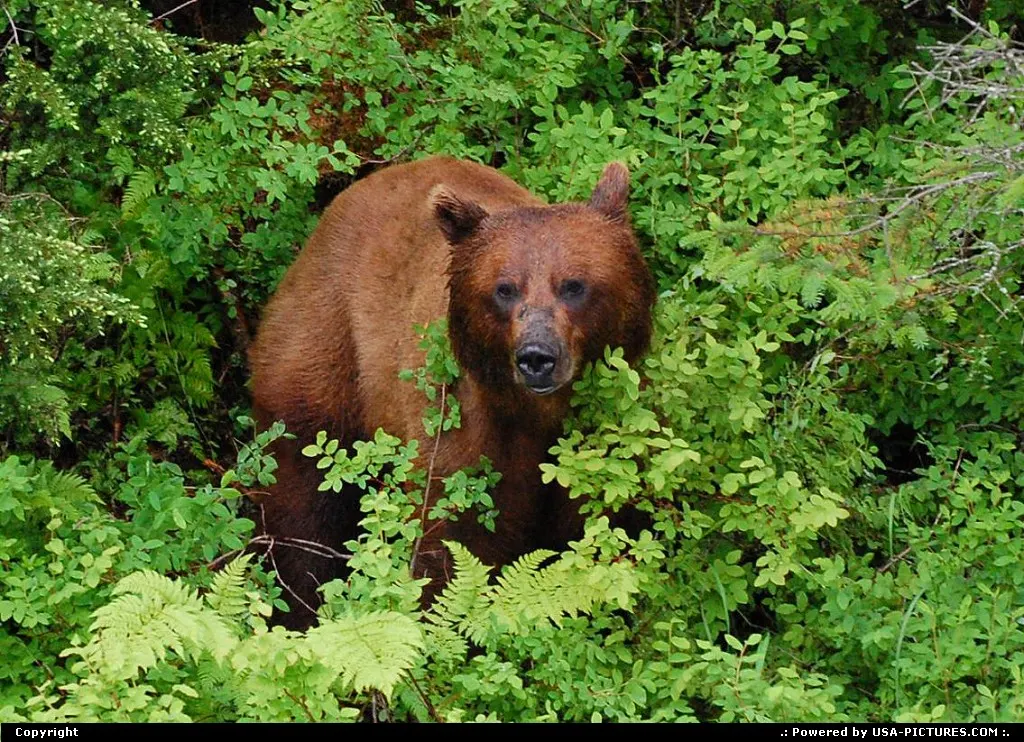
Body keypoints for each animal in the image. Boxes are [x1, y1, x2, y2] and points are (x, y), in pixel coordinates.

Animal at [248, 156, 655, 628]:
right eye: (504, 288)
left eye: (574, 284)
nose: (537, 356)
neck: (533, 414)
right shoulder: (460, 434)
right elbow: (449, 543)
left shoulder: (605, 442)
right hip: (323, 355)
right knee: (301, 506)